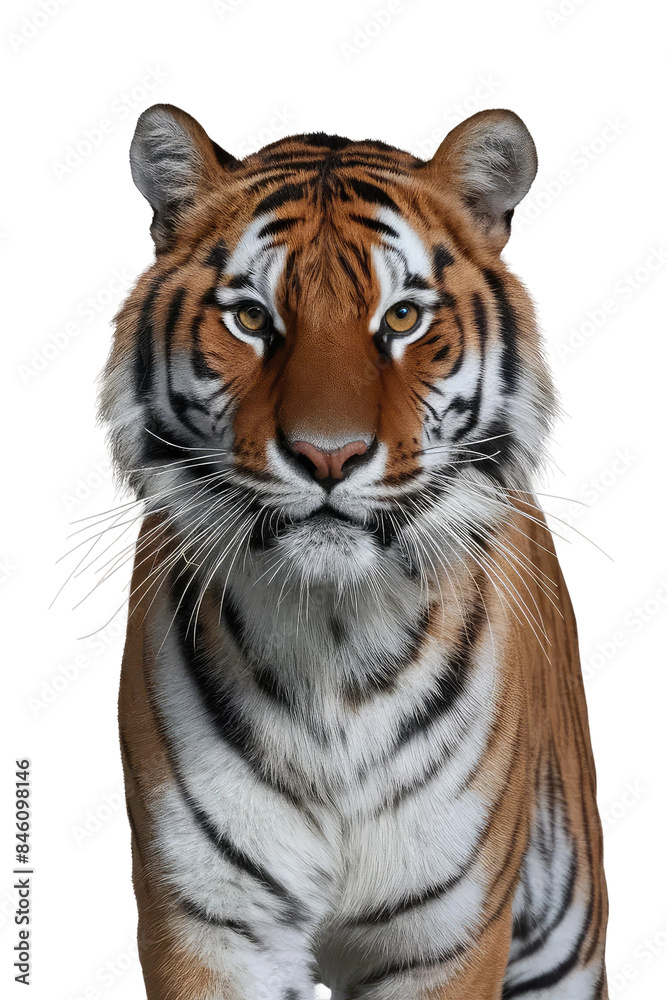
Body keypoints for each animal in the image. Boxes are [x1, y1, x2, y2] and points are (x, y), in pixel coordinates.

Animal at [100, 103, 609, 1000]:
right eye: (251, 318)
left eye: (401, 318)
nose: (328, 455)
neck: (330, 640)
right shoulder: (207, 924)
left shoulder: (445, 938)